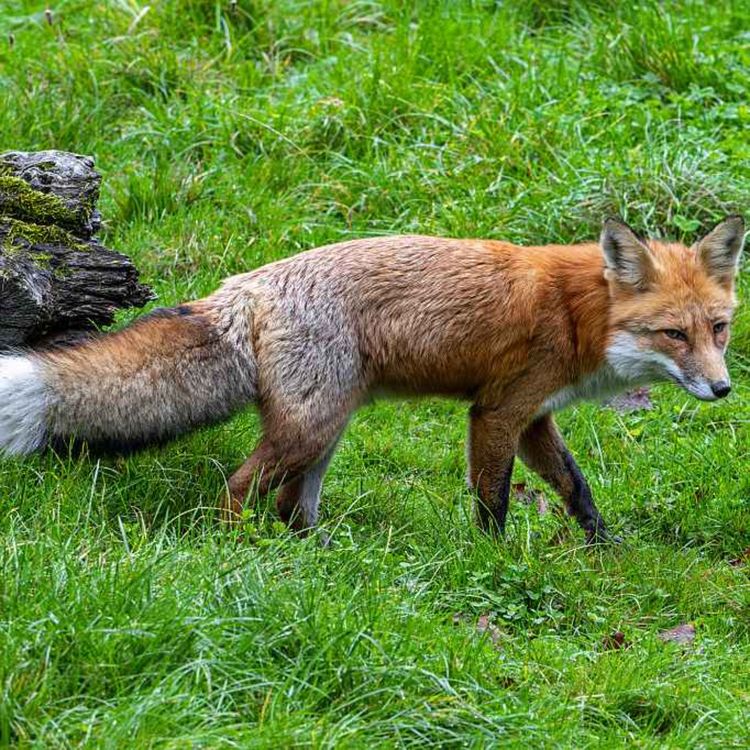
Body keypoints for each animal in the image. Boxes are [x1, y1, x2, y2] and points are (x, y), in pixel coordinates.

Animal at [0, 216, 744, 543]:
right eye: (674, 335)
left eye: (719, 328)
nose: (722, 390)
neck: (577, 313)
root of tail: (244, 286)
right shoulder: (497, 412)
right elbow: (493, 502)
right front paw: (493, 561)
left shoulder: (534, 416)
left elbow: (576, 486)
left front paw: (603, 548)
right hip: (310, 429)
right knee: (239, 489)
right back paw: (239, 550)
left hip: (326, 428)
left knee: (290, 505)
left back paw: (318, 557)